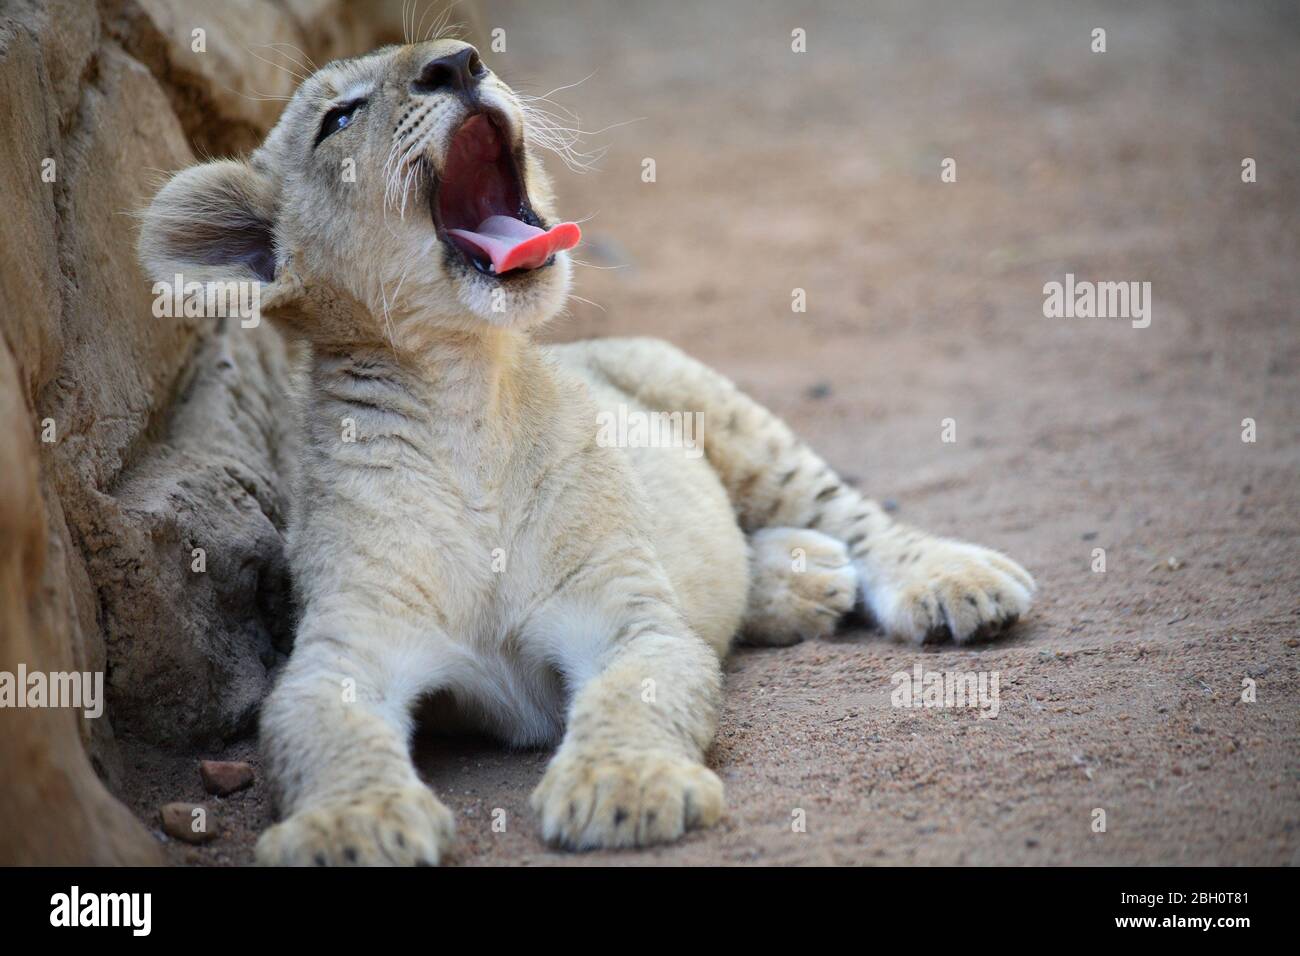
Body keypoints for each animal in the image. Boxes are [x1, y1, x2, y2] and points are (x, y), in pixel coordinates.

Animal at [138, 39, 1035, 865]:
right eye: (340, 117)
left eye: (458, 53)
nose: (459, 62)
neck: (465, 394)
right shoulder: (339, 650)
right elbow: (324, 734)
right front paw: (350, 826)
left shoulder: (625, 616)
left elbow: (632, 697)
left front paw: (625, 785)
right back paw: (801, 579)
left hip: (709, 402)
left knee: (846, 512)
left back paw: (950, 580)